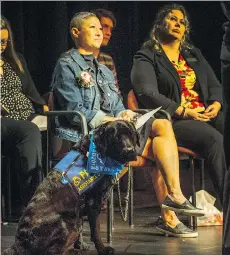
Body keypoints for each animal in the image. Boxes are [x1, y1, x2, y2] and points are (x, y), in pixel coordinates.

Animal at [4, 120, 139, 255]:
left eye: (131, 134)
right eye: (116, 137)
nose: (130, 150)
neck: (98, 152)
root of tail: (19, 244)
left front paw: (81, 246)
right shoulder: (93, 203)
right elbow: (96, 231)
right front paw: (103, 249)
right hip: (68, 226)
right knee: (53, 251)